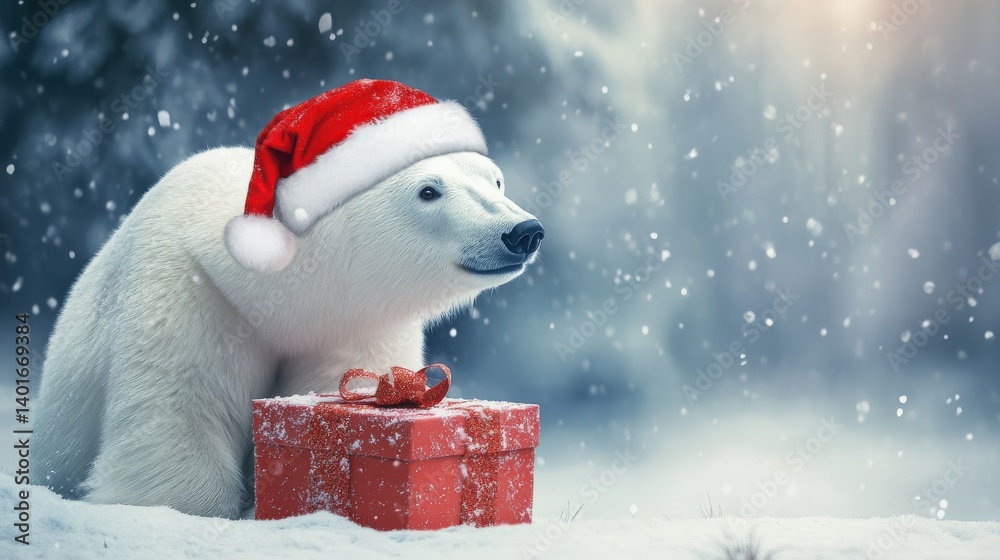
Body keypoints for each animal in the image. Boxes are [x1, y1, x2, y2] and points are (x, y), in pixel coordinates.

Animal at [33, 146, 543, 518]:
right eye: (428, 191)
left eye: (495, 179)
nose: (523, 231)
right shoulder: (191, 293)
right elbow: (180, 413)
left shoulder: (355, 323)